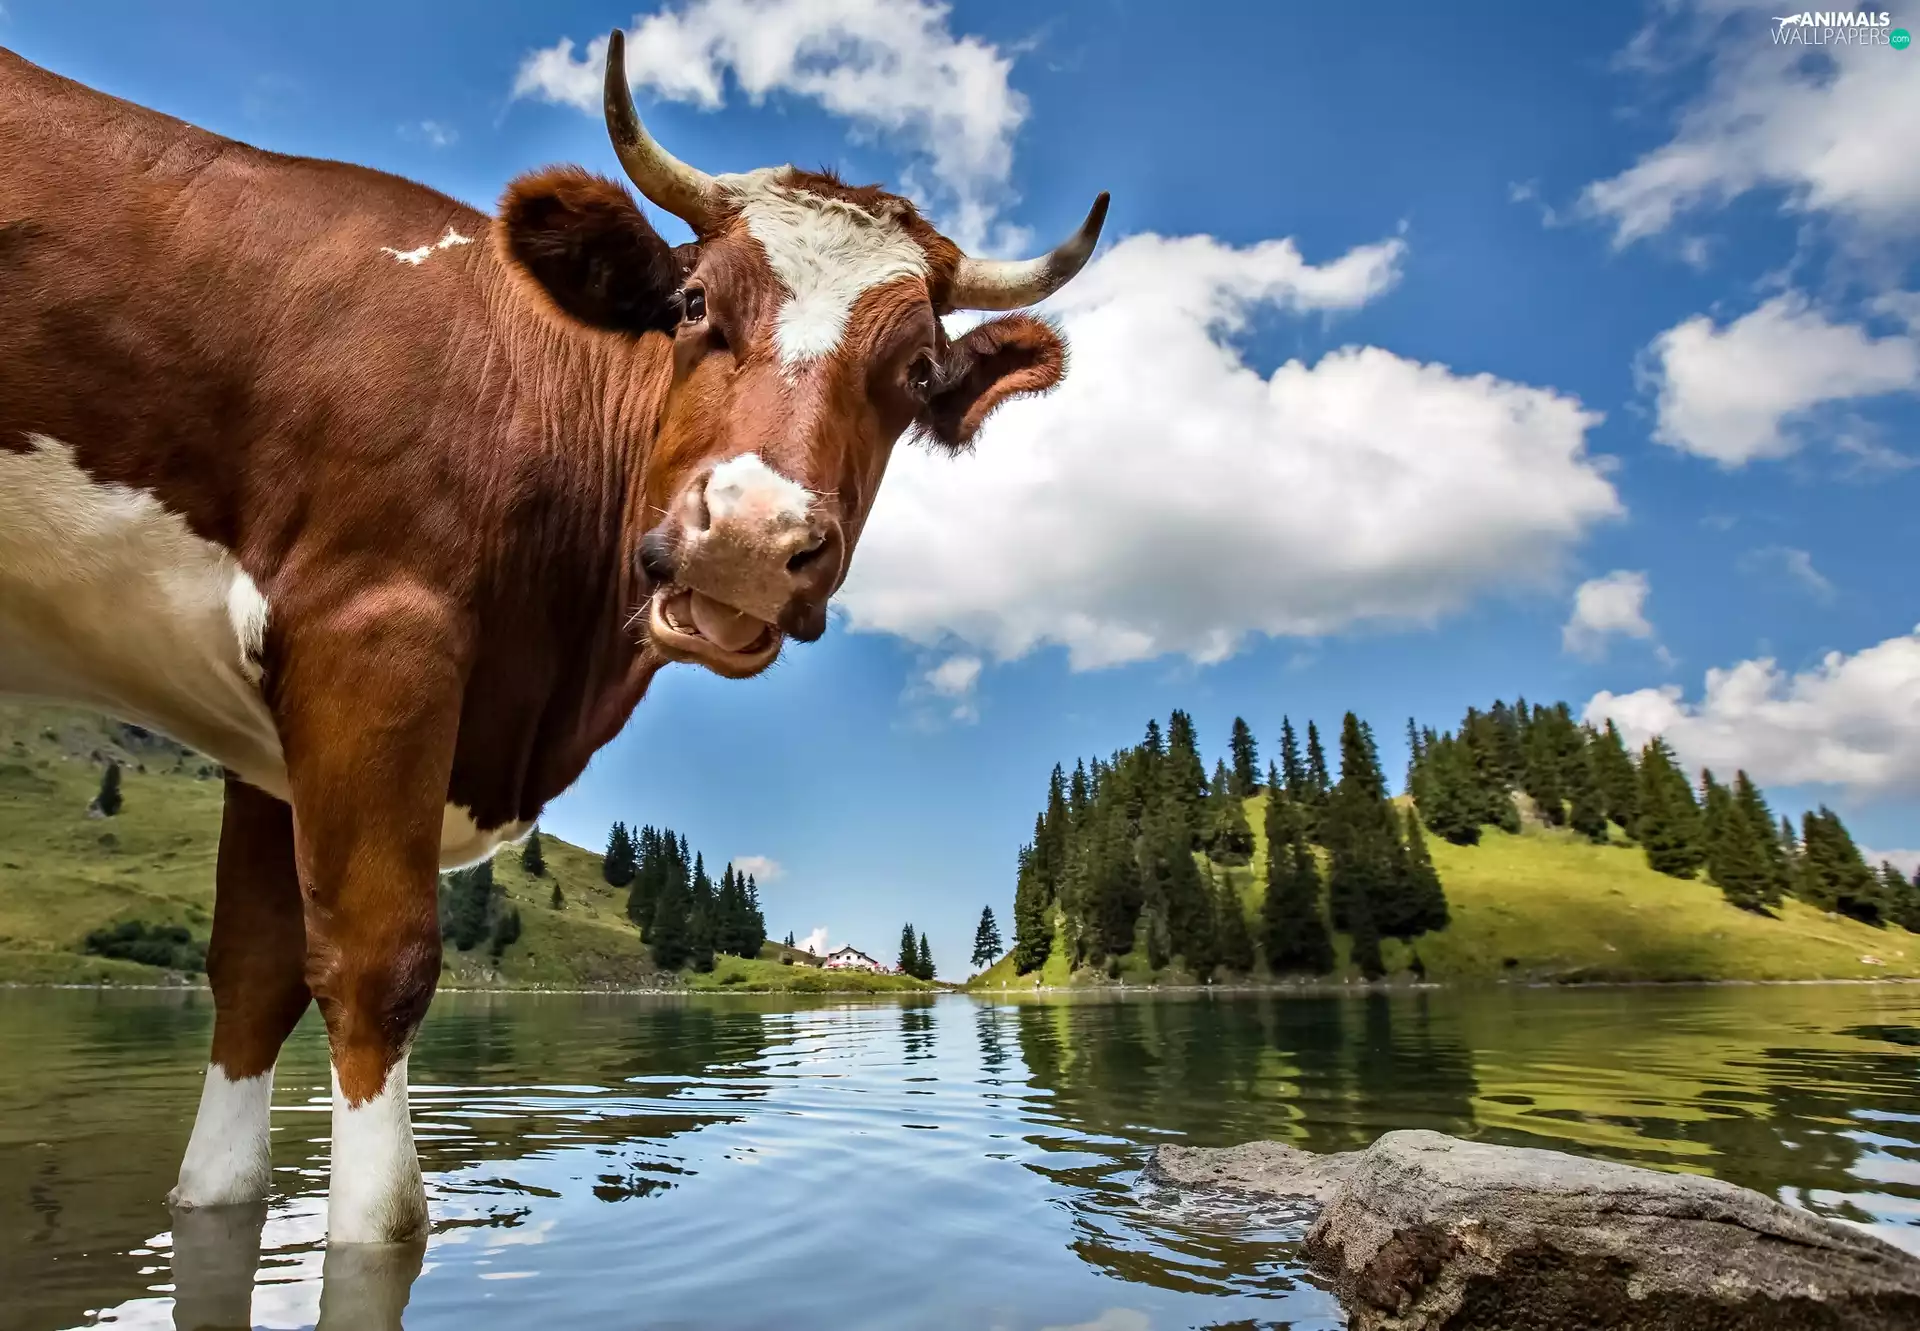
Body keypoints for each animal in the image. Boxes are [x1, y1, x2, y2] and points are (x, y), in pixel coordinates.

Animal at [0, 31, 1106, 1245]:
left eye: (915, 375)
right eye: (692, 303)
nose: (751, 538)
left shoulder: (267, 745)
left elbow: (250, 986)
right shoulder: (368, 634)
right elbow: (378, 982)